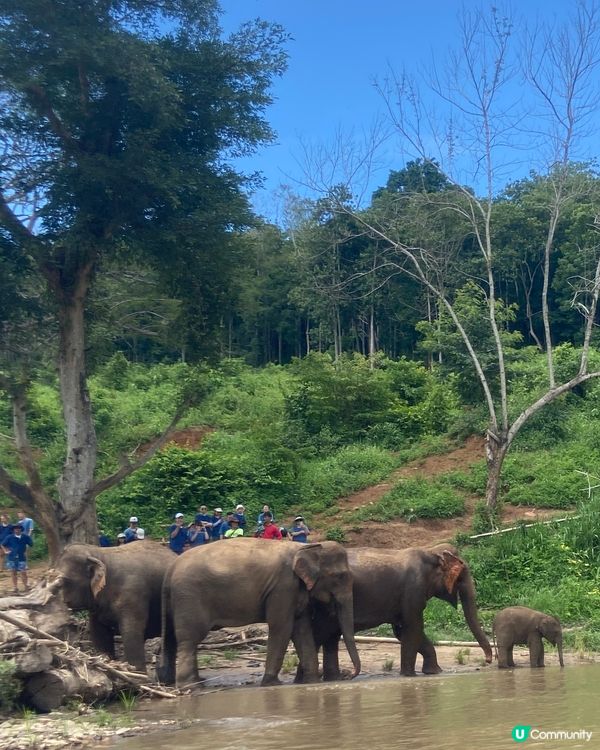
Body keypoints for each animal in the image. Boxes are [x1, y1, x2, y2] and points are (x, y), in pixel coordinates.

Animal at [56, 541, 176, 672]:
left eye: (62, 582)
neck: (99, 554)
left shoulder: (133, 593)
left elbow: (132, 631)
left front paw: (136, 672)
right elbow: (98, 632)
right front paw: (105, 660)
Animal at [158, 538, 361, 688]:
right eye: (340, 576)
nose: (349, 674)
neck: (306, 546)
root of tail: (171, 568)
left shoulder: (296, 589)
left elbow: (301, 629)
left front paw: (311, 682)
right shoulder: (283, 586)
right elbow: (282, 627)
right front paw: (272, 683)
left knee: (178, 640)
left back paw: (193, 685)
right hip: (189, 597)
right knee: (189, 640)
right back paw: (191, 687)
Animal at [296, 543, 492, 681]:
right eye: (461, 577)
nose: (488, 661)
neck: (430, 551)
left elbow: (402, 631)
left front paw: (434, 672)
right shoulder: (413, 589)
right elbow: (413, 628)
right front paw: (409, 676)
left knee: (328, 637)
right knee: (321, 633)